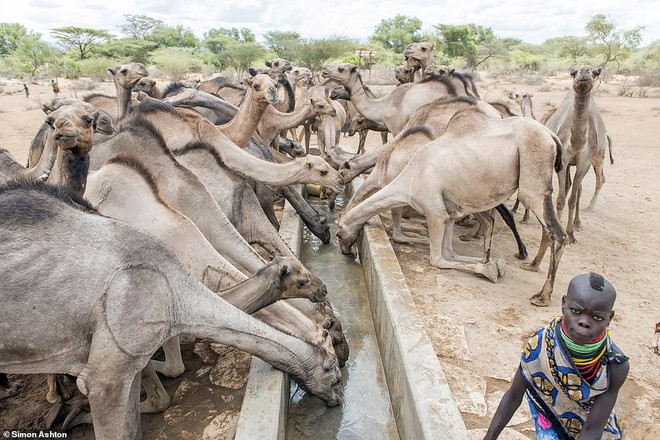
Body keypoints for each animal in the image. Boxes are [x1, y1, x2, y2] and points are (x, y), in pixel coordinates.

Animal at [338, 108, 564, 304]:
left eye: (339, 234)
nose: (344, 251)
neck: (408, 180)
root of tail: (552, 137)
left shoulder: (435, 214)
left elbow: (438, 259)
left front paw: (489, 269)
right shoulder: (449, 214)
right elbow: (451, 253)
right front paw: (493, 264)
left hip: (531, 183)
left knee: (557, 233)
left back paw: (542, 295)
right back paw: (530, 265)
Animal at [544, 65, 612, 242]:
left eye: (594, 72)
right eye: (573, 72)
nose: (584, 71)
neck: (576, 143)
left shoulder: (584, 164)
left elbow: (572, 199)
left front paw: (570, 234)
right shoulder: (563, 162)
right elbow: (561, 198)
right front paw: (559, 230)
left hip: (598, 156)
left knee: (588, 185)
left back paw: (578, 222)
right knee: (569, 186)